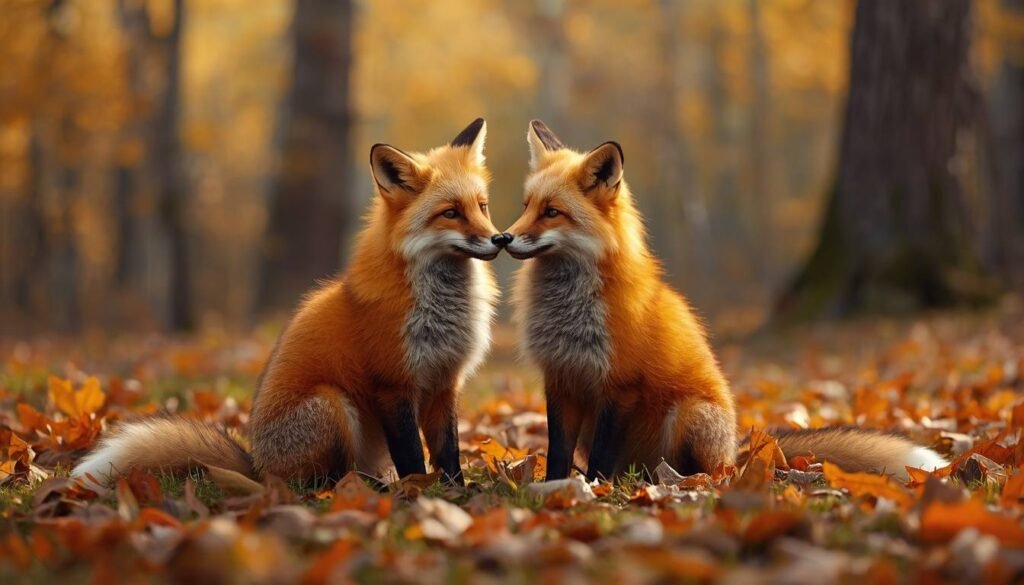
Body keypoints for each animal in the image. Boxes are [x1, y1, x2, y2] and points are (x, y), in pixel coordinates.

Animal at [73, 118, 507, 486]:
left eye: (482, 206)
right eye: (450, 213)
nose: (499, 239)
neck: (442, 306)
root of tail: (259, 467)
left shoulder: (444, 382)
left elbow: (448, 451)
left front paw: (456, 491)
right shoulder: (394, 384)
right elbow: (413, 457)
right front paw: (418, 492)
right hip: (333, 404)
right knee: (320, 481)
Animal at [503, 120, 946, 482]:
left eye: (552, 212)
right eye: (525, 207)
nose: (504, 238)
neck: (570, 308)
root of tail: (738, 451)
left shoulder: (619, 385)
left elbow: (599, 457)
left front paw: (592, 488)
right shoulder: (561, 379)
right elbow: (557, 453)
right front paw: (555, 490)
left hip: (690, 414)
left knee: (708, 473)